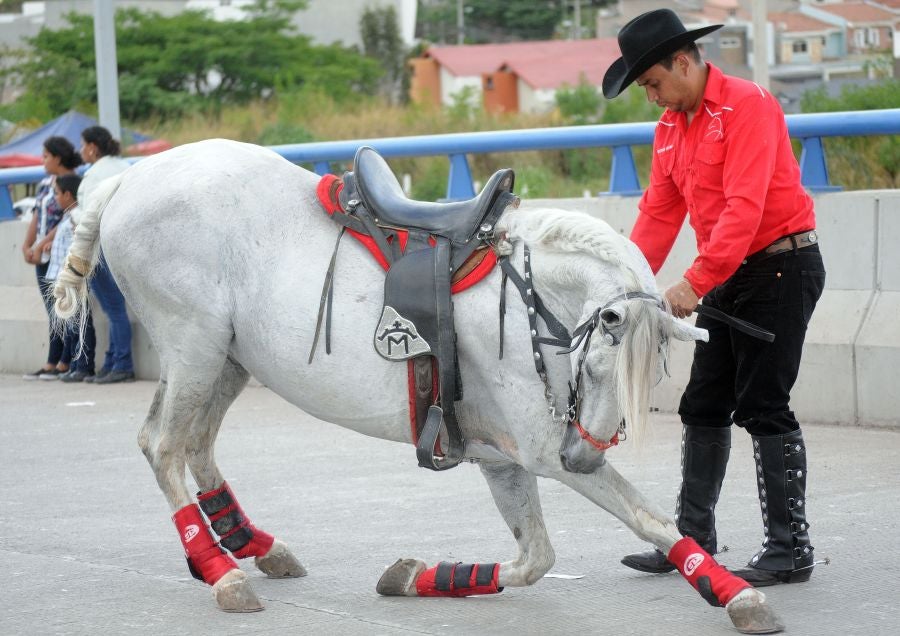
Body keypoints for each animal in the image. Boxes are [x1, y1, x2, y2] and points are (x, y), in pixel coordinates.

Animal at [52, 142, 780, 632]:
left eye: (649, 370)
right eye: (599, 363)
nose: (584, 455)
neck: (527, 296)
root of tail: (129, 178)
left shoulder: (503, 459)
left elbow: (537, 557)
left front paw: (421, 576)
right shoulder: (536, 449)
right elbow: (645, 518)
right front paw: (735, 594)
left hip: (224, 358)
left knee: (192, 445)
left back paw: (254, 547)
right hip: (194, 345)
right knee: (165, 447)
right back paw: (222, 572)